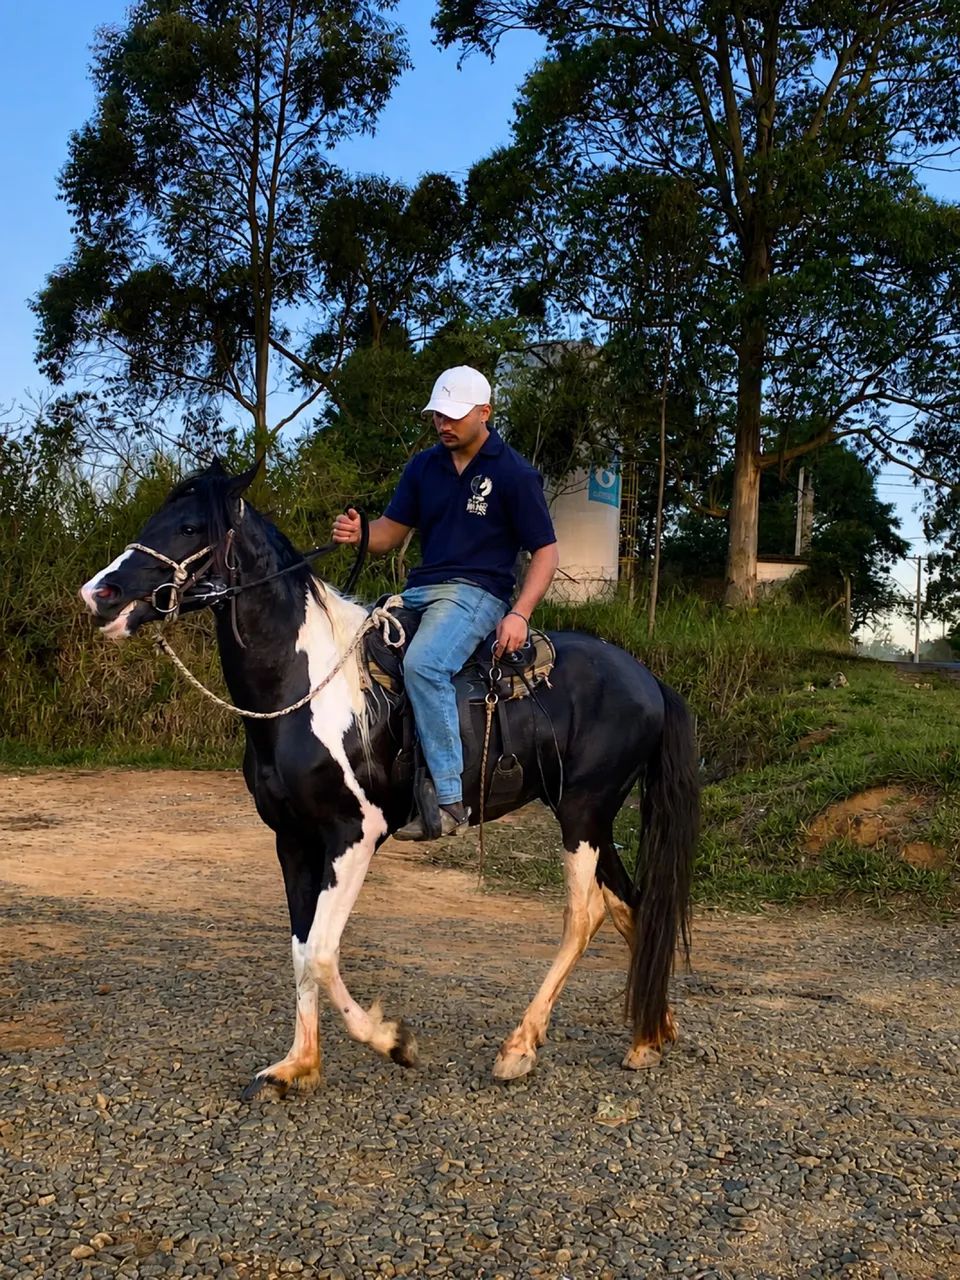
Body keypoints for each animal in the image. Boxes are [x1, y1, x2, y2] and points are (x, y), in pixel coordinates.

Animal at [79, 460, 700, 1098]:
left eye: (189, 525)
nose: (99, 593)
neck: (308, 688)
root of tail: (648, 680)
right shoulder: (292, 841)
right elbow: (301, 950)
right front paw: (296, 1065)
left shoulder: (354, 836)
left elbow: (322, 953)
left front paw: (392, 1042)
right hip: (592, 818)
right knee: (631, 905)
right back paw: (650, 1035)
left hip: (583, 811)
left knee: (586, 914)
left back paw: (520, 1047)